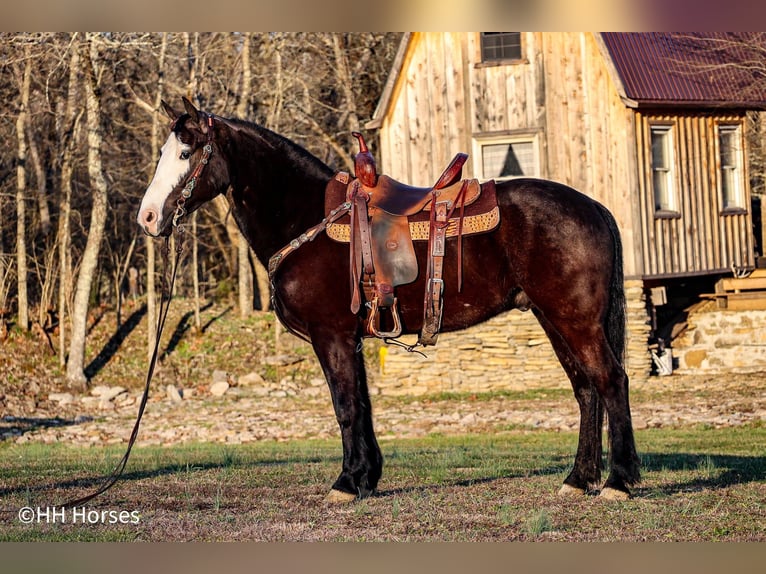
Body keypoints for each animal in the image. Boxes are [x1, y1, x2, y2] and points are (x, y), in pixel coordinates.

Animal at [137, 98, 640, 502]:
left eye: (185, 153)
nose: (148, 218)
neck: (307, 218)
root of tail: (594, 207)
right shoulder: (352, 339)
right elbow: (362, 406)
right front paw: (366, 478)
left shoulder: (332, 337)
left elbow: (345, 407)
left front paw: (346, 483)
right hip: (553, 319)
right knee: (586, 390)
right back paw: (578, 479)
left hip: (575, 320)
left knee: (611, 381)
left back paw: (618, 481)